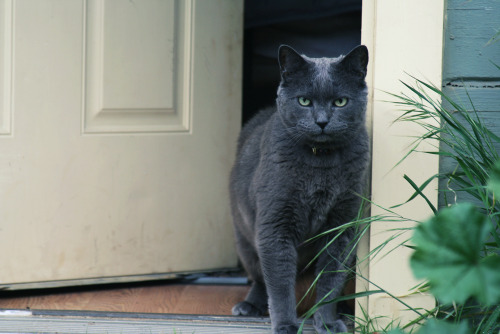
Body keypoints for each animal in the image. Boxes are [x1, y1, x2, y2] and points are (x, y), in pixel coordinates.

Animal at [229, 45, 368, 334]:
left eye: (340, 102)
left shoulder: (343, 225)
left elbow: (330, 279)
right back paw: (249, 306)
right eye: (304, 101)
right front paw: (285, 325)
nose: (322, 121)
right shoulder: (275, 224)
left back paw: (346, 310)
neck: (321, 165)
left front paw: (326, 322)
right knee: (260, 278)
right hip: (244, 239)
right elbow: (280, 284)